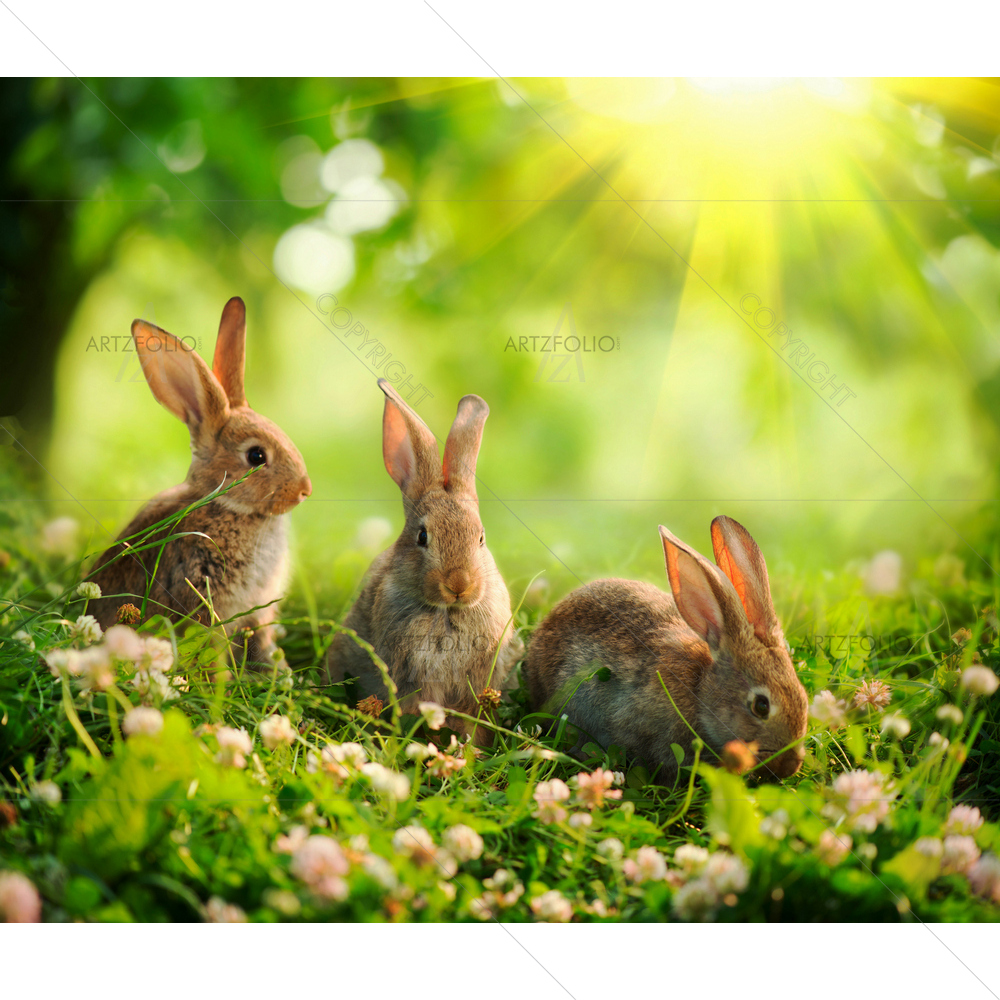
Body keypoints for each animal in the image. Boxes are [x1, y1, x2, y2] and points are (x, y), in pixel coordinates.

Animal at [87, 297, 312, 668]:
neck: (227, 506)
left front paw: (279, 671)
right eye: (256, 456)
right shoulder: (200, 591)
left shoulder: (257, 613)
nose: (304, 490)